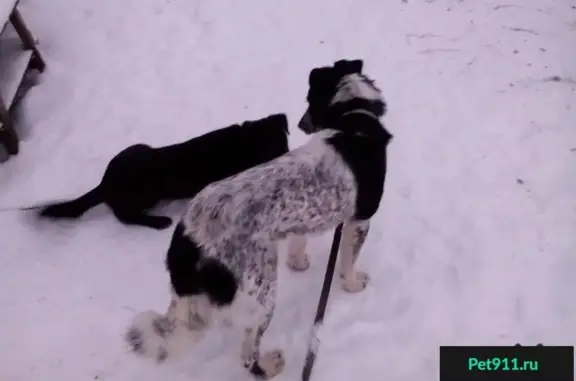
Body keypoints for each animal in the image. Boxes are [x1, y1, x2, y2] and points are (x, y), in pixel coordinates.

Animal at [38, 113, 290, 229]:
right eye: (274, 150)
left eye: (285, 145)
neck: (245, 144)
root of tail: (104, 182)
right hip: (146, 189)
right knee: (124, 215)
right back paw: (158, 221)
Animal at [125, 60, 394, 378]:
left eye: (308, 100)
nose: (300, 124)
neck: (352, 118)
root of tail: (188, 240)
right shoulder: (360, 219)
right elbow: (349, 260)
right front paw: (352, 284)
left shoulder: (302, 219)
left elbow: (299, 242)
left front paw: (299, 264)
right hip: (262, 292)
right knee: (248, 352)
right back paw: (269, 366)